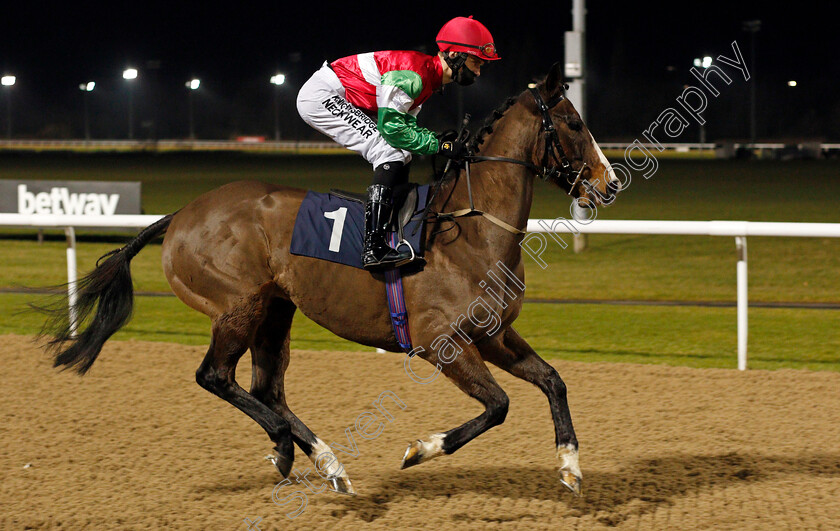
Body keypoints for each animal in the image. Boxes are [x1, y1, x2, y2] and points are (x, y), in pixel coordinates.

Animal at [42, 62, 620, 498]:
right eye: (573, 123)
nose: (610, 183)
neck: (473, 229)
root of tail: (182, 214)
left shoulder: (492, 332)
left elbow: (553, 380)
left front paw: (570, 467)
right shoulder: (441, 342)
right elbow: (498, 405)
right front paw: (419, 449)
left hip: (276, 309)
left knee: (266, 387)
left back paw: (322, 460)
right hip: (237, 305)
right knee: (217, 377)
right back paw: (289, 445)